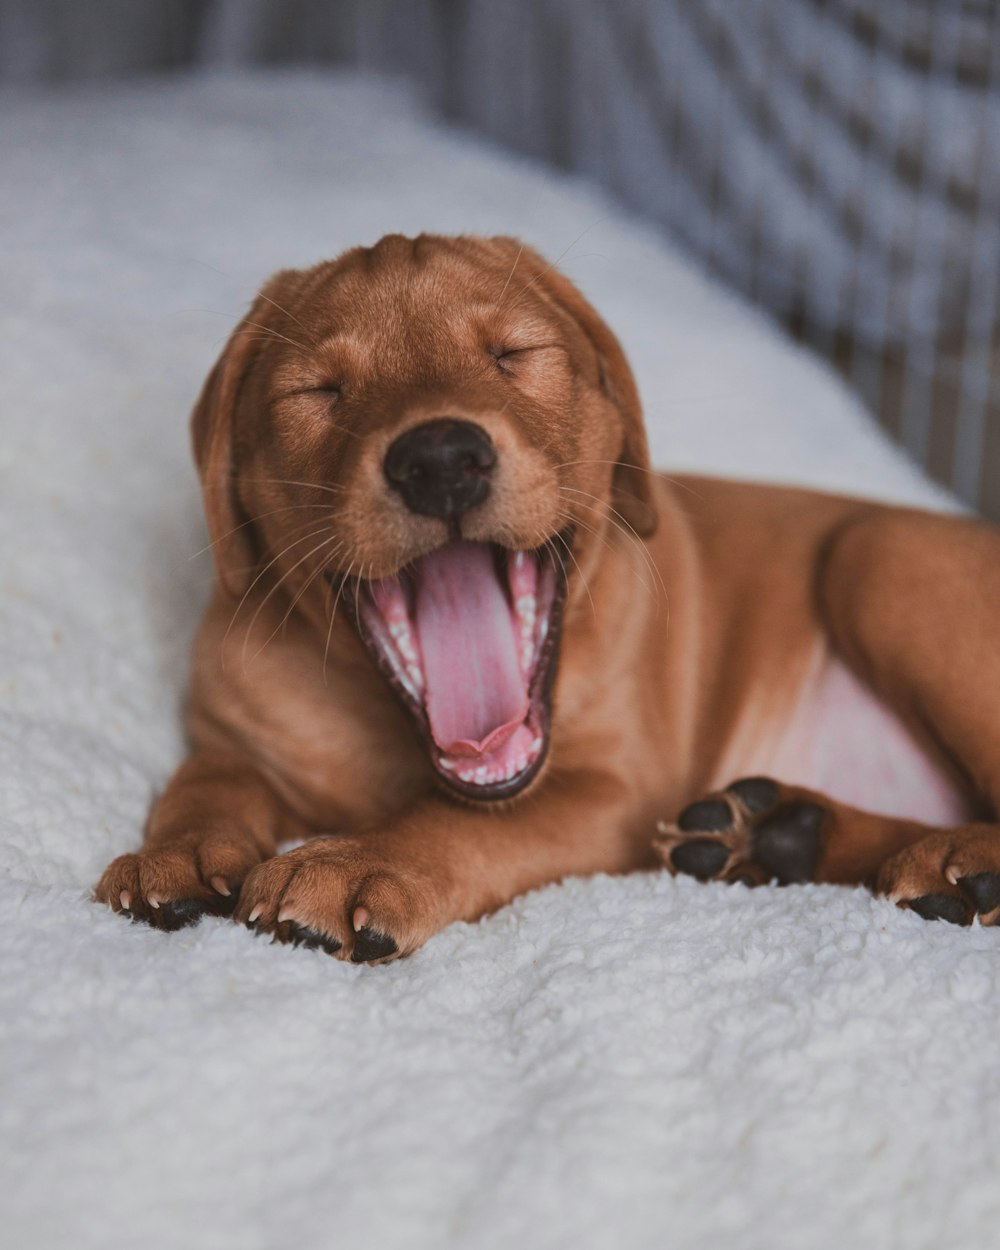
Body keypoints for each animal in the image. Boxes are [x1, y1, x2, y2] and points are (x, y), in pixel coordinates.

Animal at [97, 235, 1000, 955]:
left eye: (514, 354)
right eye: (319, 391)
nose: (439, 460)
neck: (390, 736)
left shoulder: (610, 794)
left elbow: (454, 820)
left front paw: (355, 862)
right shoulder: (232, 724)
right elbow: (208, 776)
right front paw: (176, 853)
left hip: (882, 556)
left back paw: (939, 861)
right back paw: (784, 837)